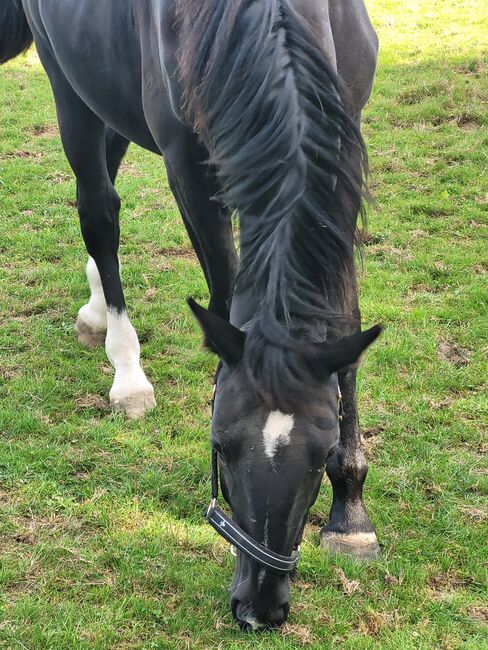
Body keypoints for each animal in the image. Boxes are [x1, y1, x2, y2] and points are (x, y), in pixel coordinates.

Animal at [0, 0, 382, 628]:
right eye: (219, 446)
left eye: (321, 452)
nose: (259, 608)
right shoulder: (191, 168)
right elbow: (225, 298)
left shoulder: (341, 146)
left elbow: (345, 328)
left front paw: (350, 515)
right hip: (68, 87)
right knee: (98, 206)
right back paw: (126, 370)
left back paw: (95, 310)